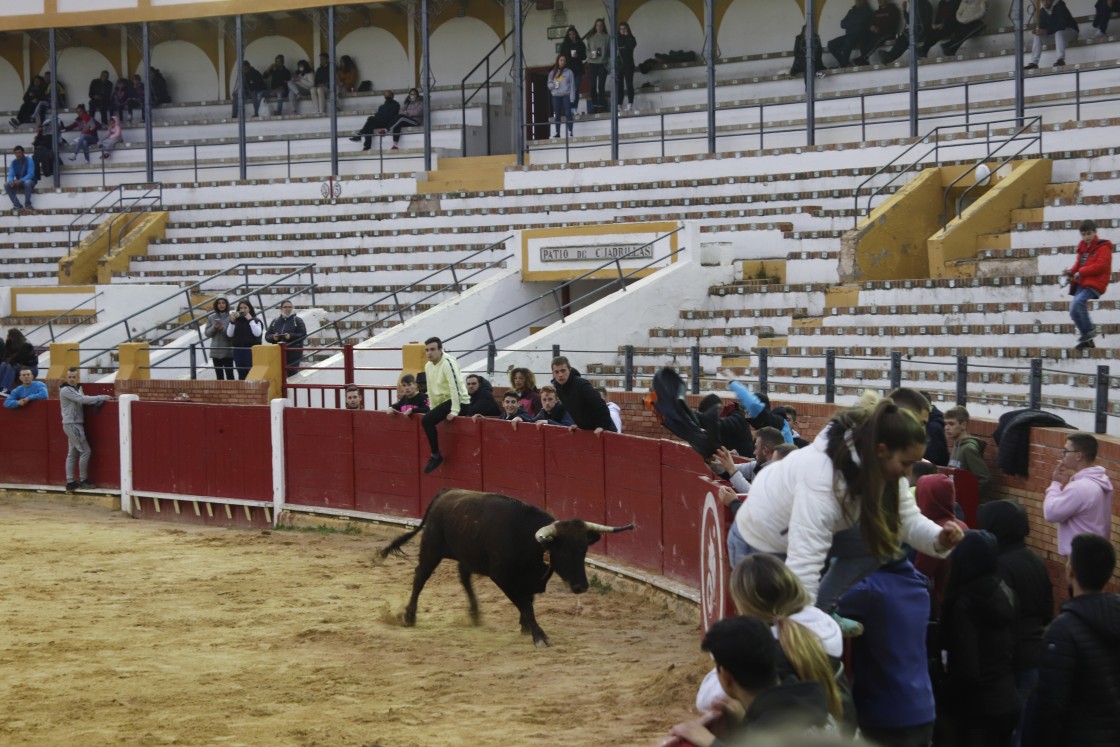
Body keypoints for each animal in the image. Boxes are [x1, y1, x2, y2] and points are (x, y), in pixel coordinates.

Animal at [380, 488, 636, 645]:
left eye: (584, 550)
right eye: (564, 551)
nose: (581, 587)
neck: (530, 543)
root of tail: (446, 492)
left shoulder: (530, 580)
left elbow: (528, 603)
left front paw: (526, 627)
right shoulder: (503, 578)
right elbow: (525, 604)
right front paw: (539, 636)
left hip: (468, 555)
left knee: (463, 576)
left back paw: (475, 613)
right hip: (431, 548)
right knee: (420, 577)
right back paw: (409, 616)